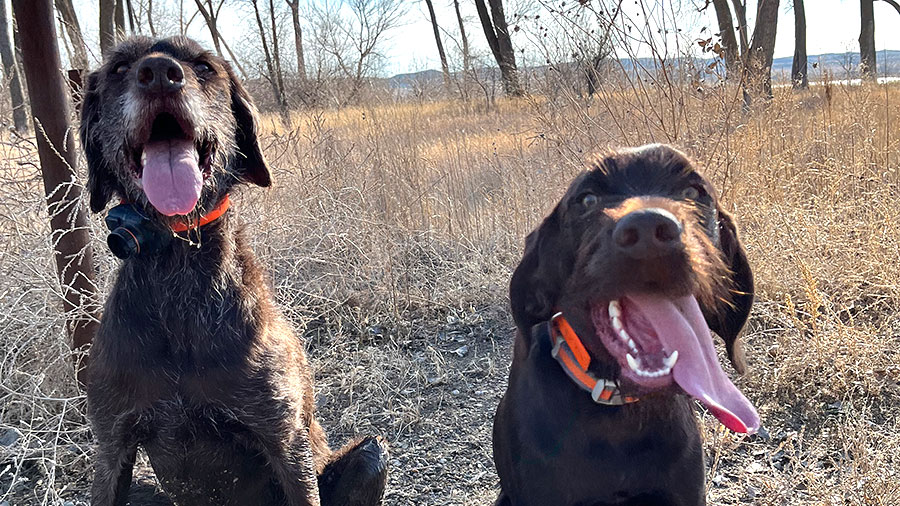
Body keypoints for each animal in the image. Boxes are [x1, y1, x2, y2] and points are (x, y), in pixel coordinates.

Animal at [84, 37, 390, 506]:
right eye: (119, 67)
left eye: (203, 66)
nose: (159, 74)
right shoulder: (112, 444)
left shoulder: (284, 440)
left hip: (371, 453)